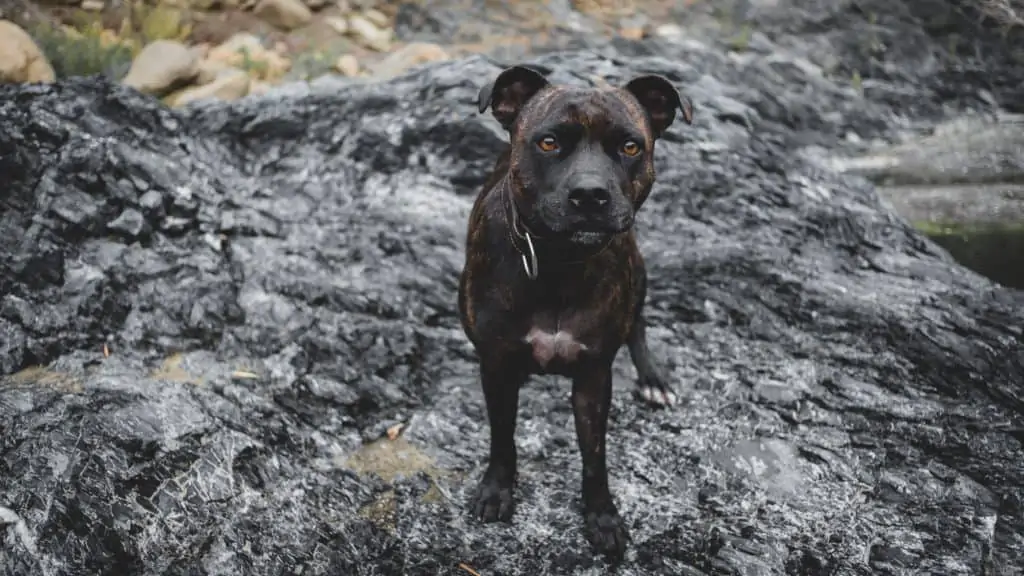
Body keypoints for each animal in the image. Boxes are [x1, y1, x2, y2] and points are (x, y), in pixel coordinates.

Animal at [458, 63, 692, 557]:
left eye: (630, 146)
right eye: (548, 142)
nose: (590, 194)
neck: (558, 263)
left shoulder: (593, 377)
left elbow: (594, 455)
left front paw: (601, 516)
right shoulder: (497, 367)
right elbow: (502, 437)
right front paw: (496, 491)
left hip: (638, 270)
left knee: (638, 323)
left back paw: (654, 379)